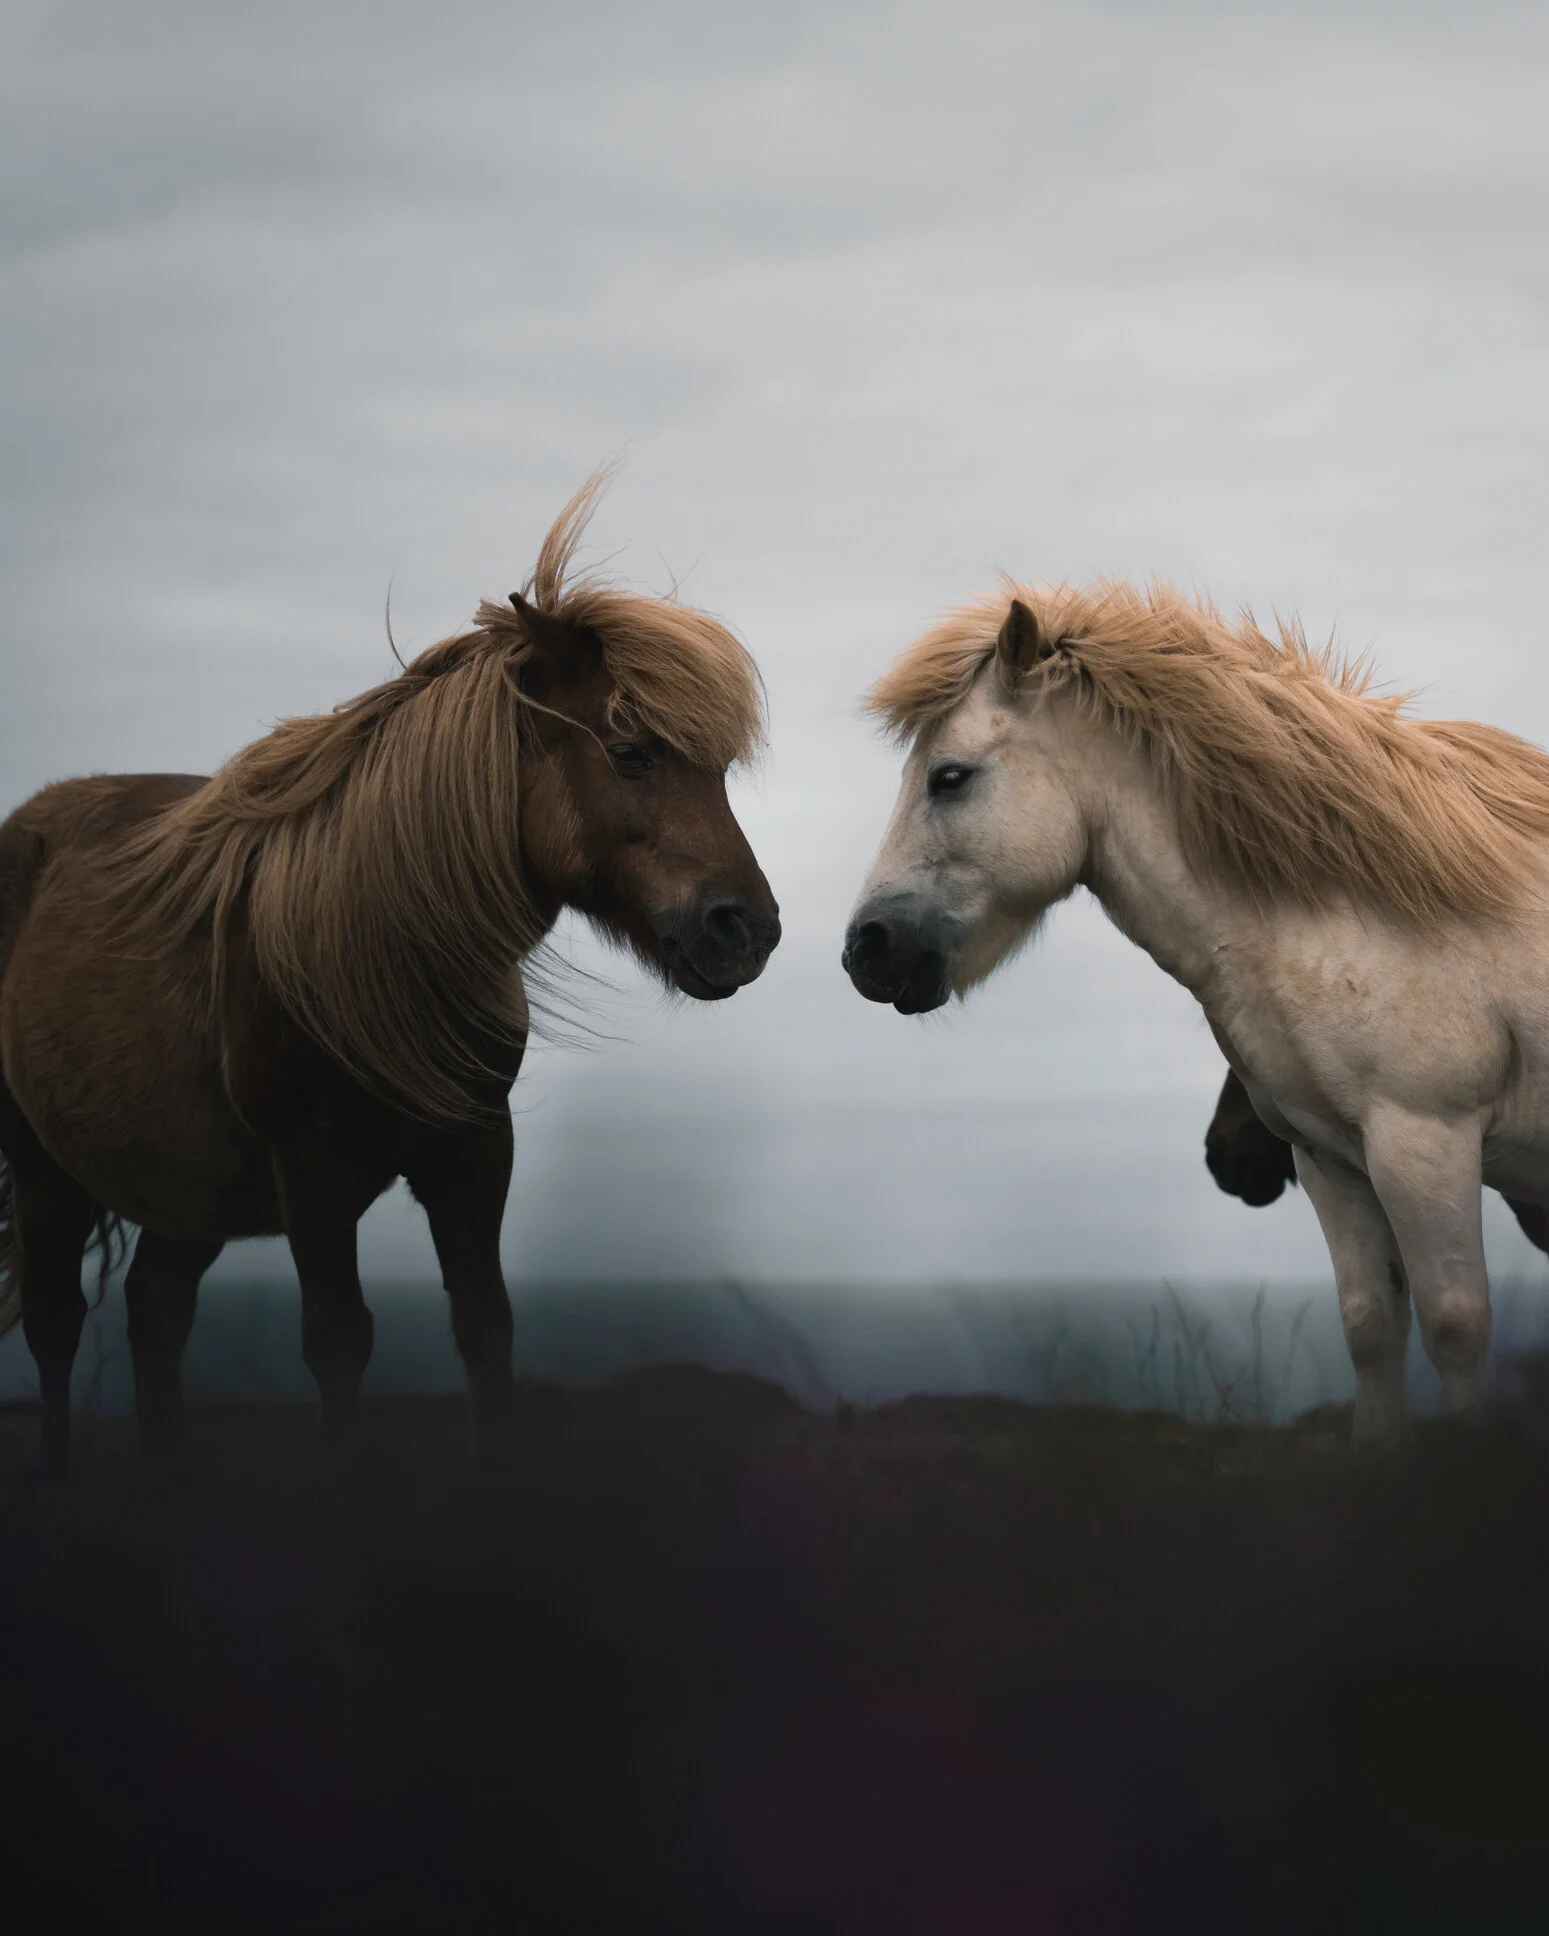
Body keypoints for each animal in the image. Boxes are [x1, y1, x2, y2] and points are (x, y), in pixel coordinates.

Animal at [0, 476, 780, 1473]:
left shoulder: (475, 1149)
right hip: (41, 1162)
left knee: (154, 1312)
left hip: (192, 1192)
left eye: (716, 767)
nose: (746, 931)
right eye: (629, 750)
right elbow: (338, 1343)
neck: (375, 943)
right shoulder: (314, 1174)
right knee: (56, 1325)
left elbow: (487, 1328)